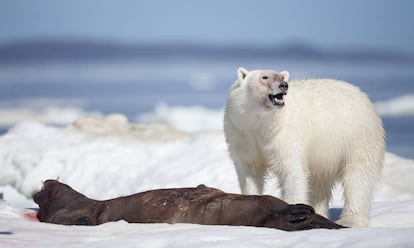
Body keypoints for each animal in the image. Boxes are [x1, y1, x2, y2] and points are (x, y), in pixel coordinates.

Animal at [225, 68, 386, 227]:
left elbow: (291, 173)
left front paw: (294, 212)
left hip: (357, 139)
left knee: (358, 178)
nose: (284, 85)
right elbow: (250, 173)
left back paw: (351, 220)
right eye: (264, 77)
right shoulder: (242, 135)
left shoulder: (284, 136)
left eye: (282, 76)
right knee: (319, 183)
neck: (261, 124)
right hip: (324, 155)